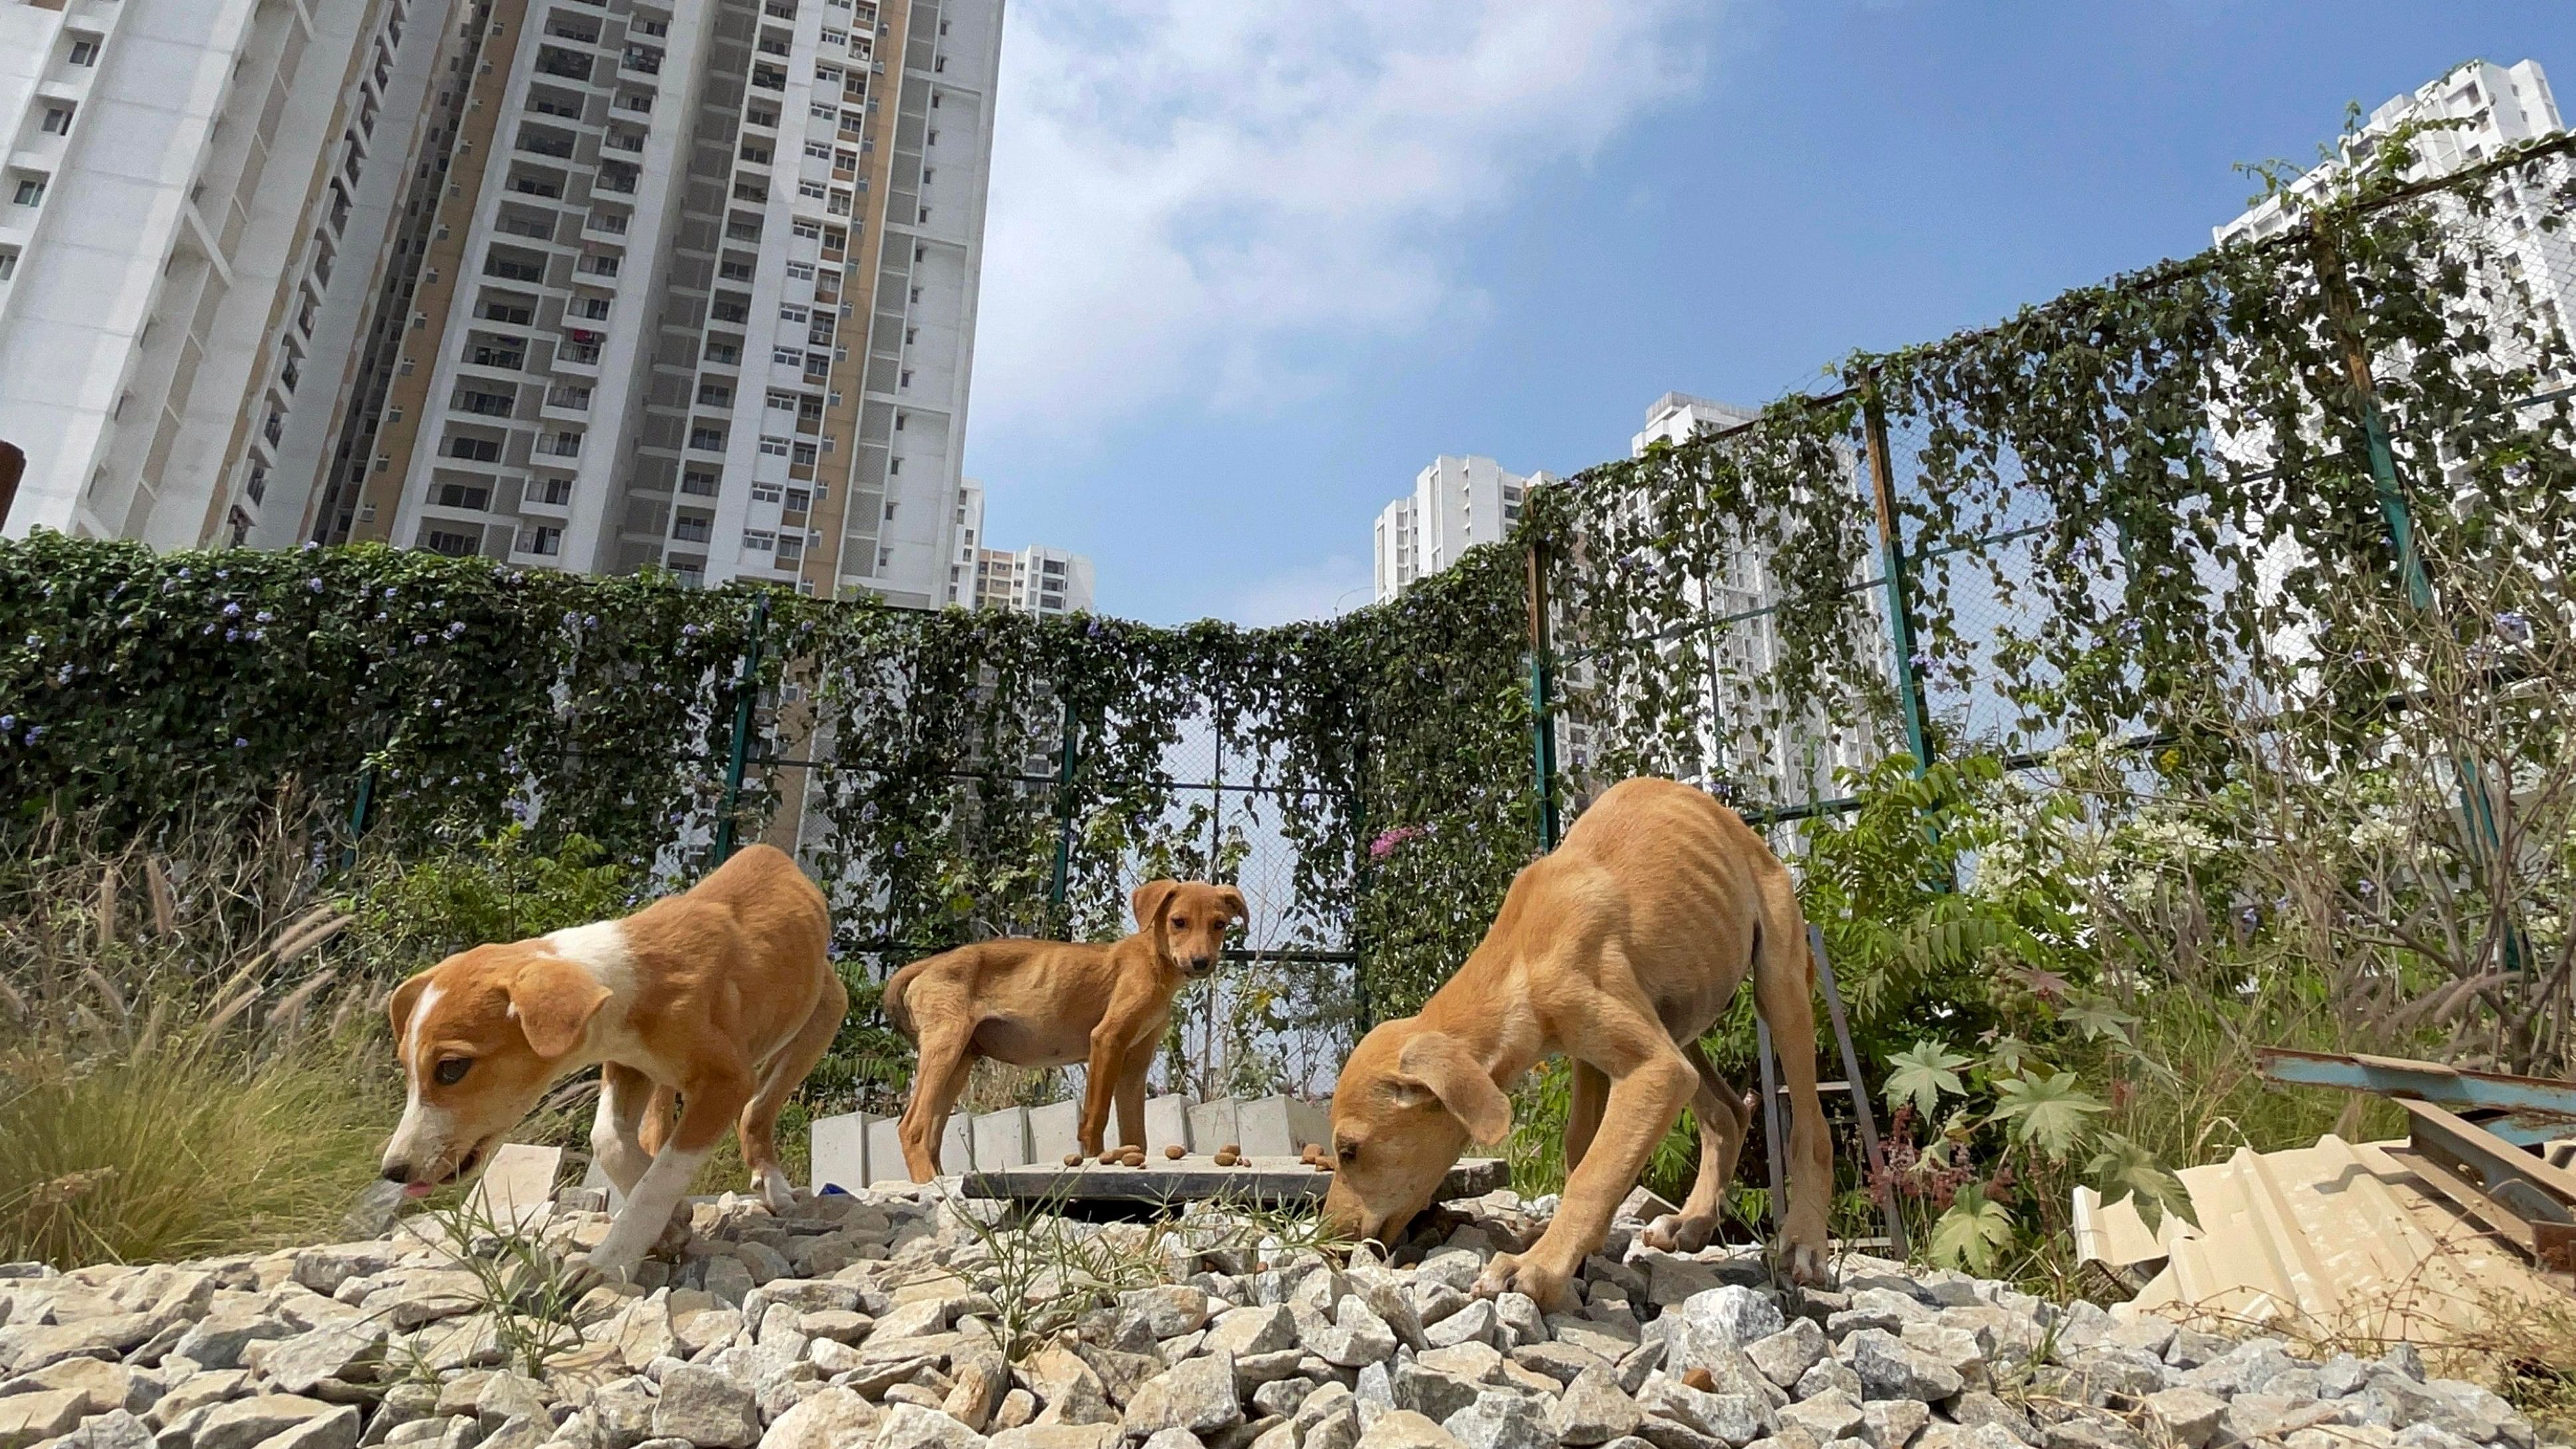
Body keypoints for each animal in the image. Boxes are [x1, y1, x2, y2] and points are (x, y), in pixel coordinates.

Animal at [376, 840, 839, 1279]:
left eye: (451, 1068)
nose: (394, 1171)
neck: (630, 976)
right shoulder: (626, 1065)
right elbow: (609, 1139)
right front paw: (672, 1221)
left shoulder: (728, 1082)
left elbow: (662, 1178)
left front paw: (609, 1262)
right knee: (658, 1127)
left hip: (820, 1021)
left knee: (757, 1111)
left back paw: (773, 1183)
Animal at [886, 877, 1246, 1181]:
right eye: (1178, 922)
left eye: (1219, 925)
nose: (1201, 962)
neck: (1153, 960)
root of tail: (931, 963)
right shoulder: (1107, 1040)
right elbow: (1095, 1119)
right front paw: (1097, 1160)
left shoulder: (1135, 1065)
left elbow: (1135, 1135)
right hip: (945, 1048)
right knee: (912, 1128)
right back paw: (928, 1184)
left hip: (960, 1062)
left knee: (932, 1134)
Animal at [1329, 778, 1834, 1309]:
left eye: (1350, 1150)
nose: (1333, 1241)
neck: (1523, 950)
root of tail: (1745, 831)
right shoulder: (1590, 1056)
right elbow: (1585, 1149)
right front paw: (1575, 1247)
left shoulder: (1654, 1069)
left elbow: (1593, 1174)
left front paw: (1537, 1266)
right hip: (1675, 1019)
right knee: (1728, 1113)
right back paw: (1690, 1223)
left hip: (1778, 986)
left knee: (1810, 1129)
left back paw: (1803, 1245)